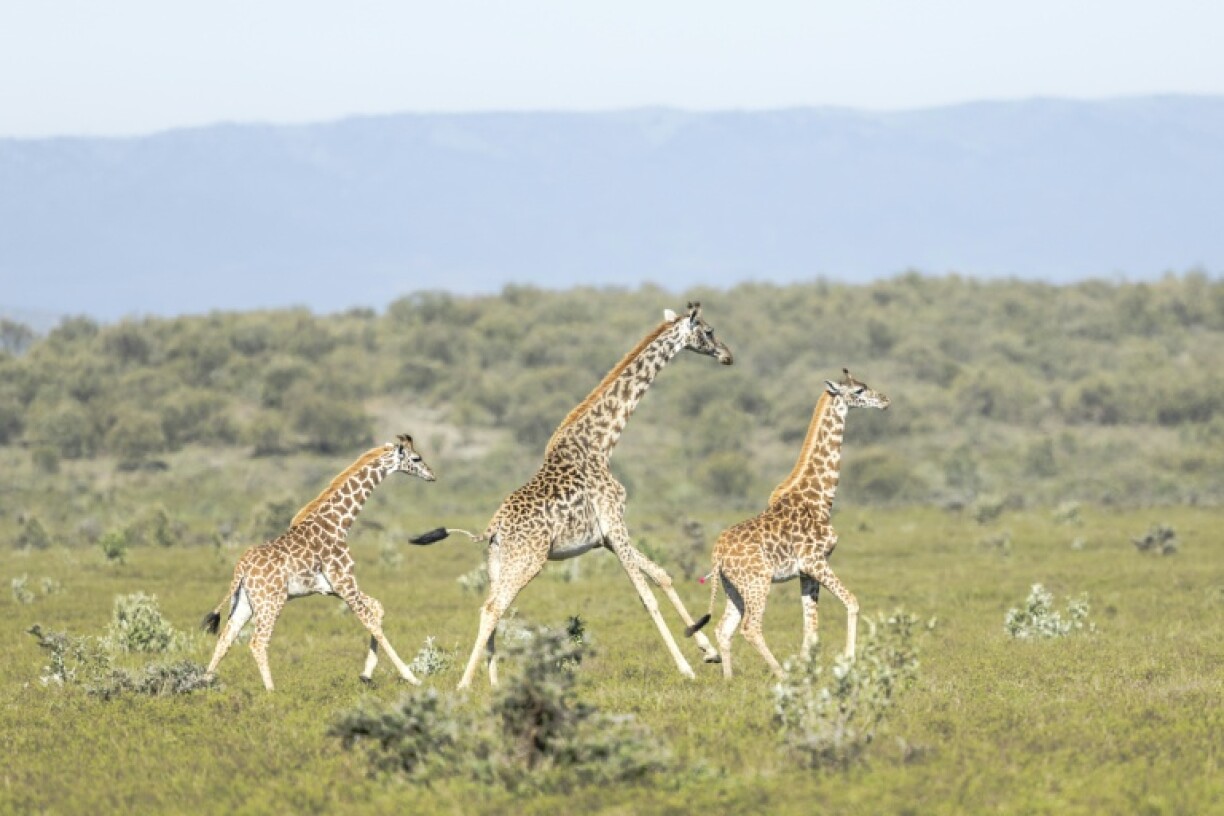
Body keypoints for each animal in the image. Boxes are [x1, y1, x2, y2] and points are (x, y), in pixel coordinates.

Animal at [201, 434, 436, 691]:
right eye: (417, 458)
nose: (432, 475)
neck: (338, 523)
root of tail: (241, 567)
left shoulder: (334, 588)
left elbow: (378, 608)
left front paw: (366, 674)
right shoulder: (345, 582)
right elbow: (371, 621)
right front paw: (411, 677)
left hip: (244, 601)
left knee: (226, 637)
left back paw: (203, 683)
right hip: (271, 601)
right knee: (257, 642)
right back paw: (271, 691)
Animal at [412, 304, 732, 689]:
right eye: (710, 331)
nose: (728, 356)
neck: (601, 444)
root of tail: (492, 529)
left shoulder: (605, 538)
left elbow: (661, 574)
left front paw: (708, 650)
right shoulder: (615, 525)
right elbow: (646, 597)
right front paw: (686, 668)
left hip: (497, 564)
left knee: (493, 608)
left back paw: (495, 684)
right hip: (528, 560)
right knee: (492, 609)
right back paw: (464, 685)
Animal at [686, 369, 890, 678]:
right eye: (859, 390)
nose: (885, 400)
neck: (820, 499)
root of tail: (716, 554)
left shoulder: (806, 572)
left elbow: (811, 627)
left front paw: (809, 670)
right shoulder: (815, 562)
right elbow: (852, 603)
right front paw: (849, 662)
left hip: (733, 586)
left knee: (724, 628)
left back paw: (729, 679)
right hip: (757, 581)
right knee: (750, 627)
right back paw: (780, 674)